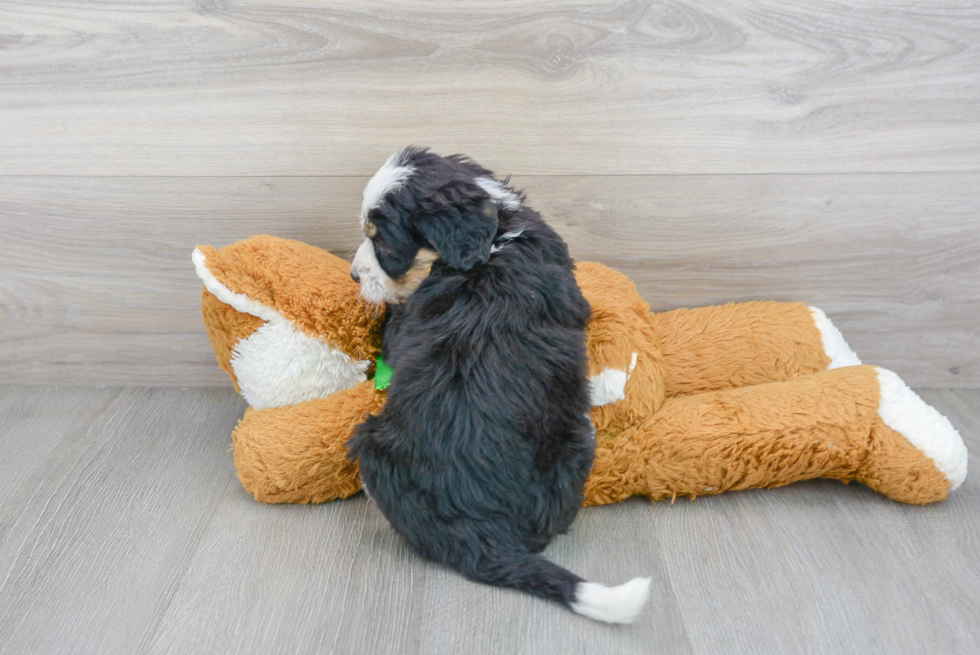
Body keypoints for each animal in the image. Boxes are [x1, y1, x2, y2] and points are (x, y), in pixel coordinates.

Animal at [346, 146, 652, 624]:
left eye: (385, 245)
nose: (354, 276)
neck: (494, 240)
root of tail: (484, 535)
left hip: (373, 443)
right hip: (577, 441)